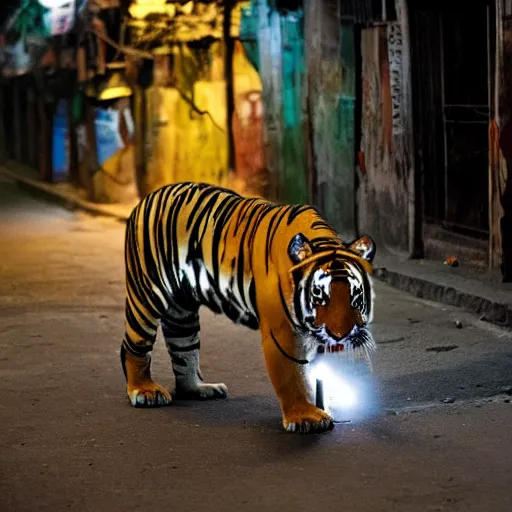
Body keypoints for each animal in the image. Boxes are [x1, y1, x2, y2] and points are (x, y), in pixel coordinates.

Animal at [120, 182, 376, 434]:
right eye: (318, 295)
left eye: (356, 296)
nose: (340, 336)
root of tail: (149, 197)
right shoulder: (282, 333)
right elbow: (293, 375)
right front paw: (305, 417)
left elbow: (316, 374)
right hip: (147, 294)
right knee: (133, 347)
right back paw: (145, 391)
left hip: (182, 312)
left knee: (184, 352)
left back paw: (200, 388)